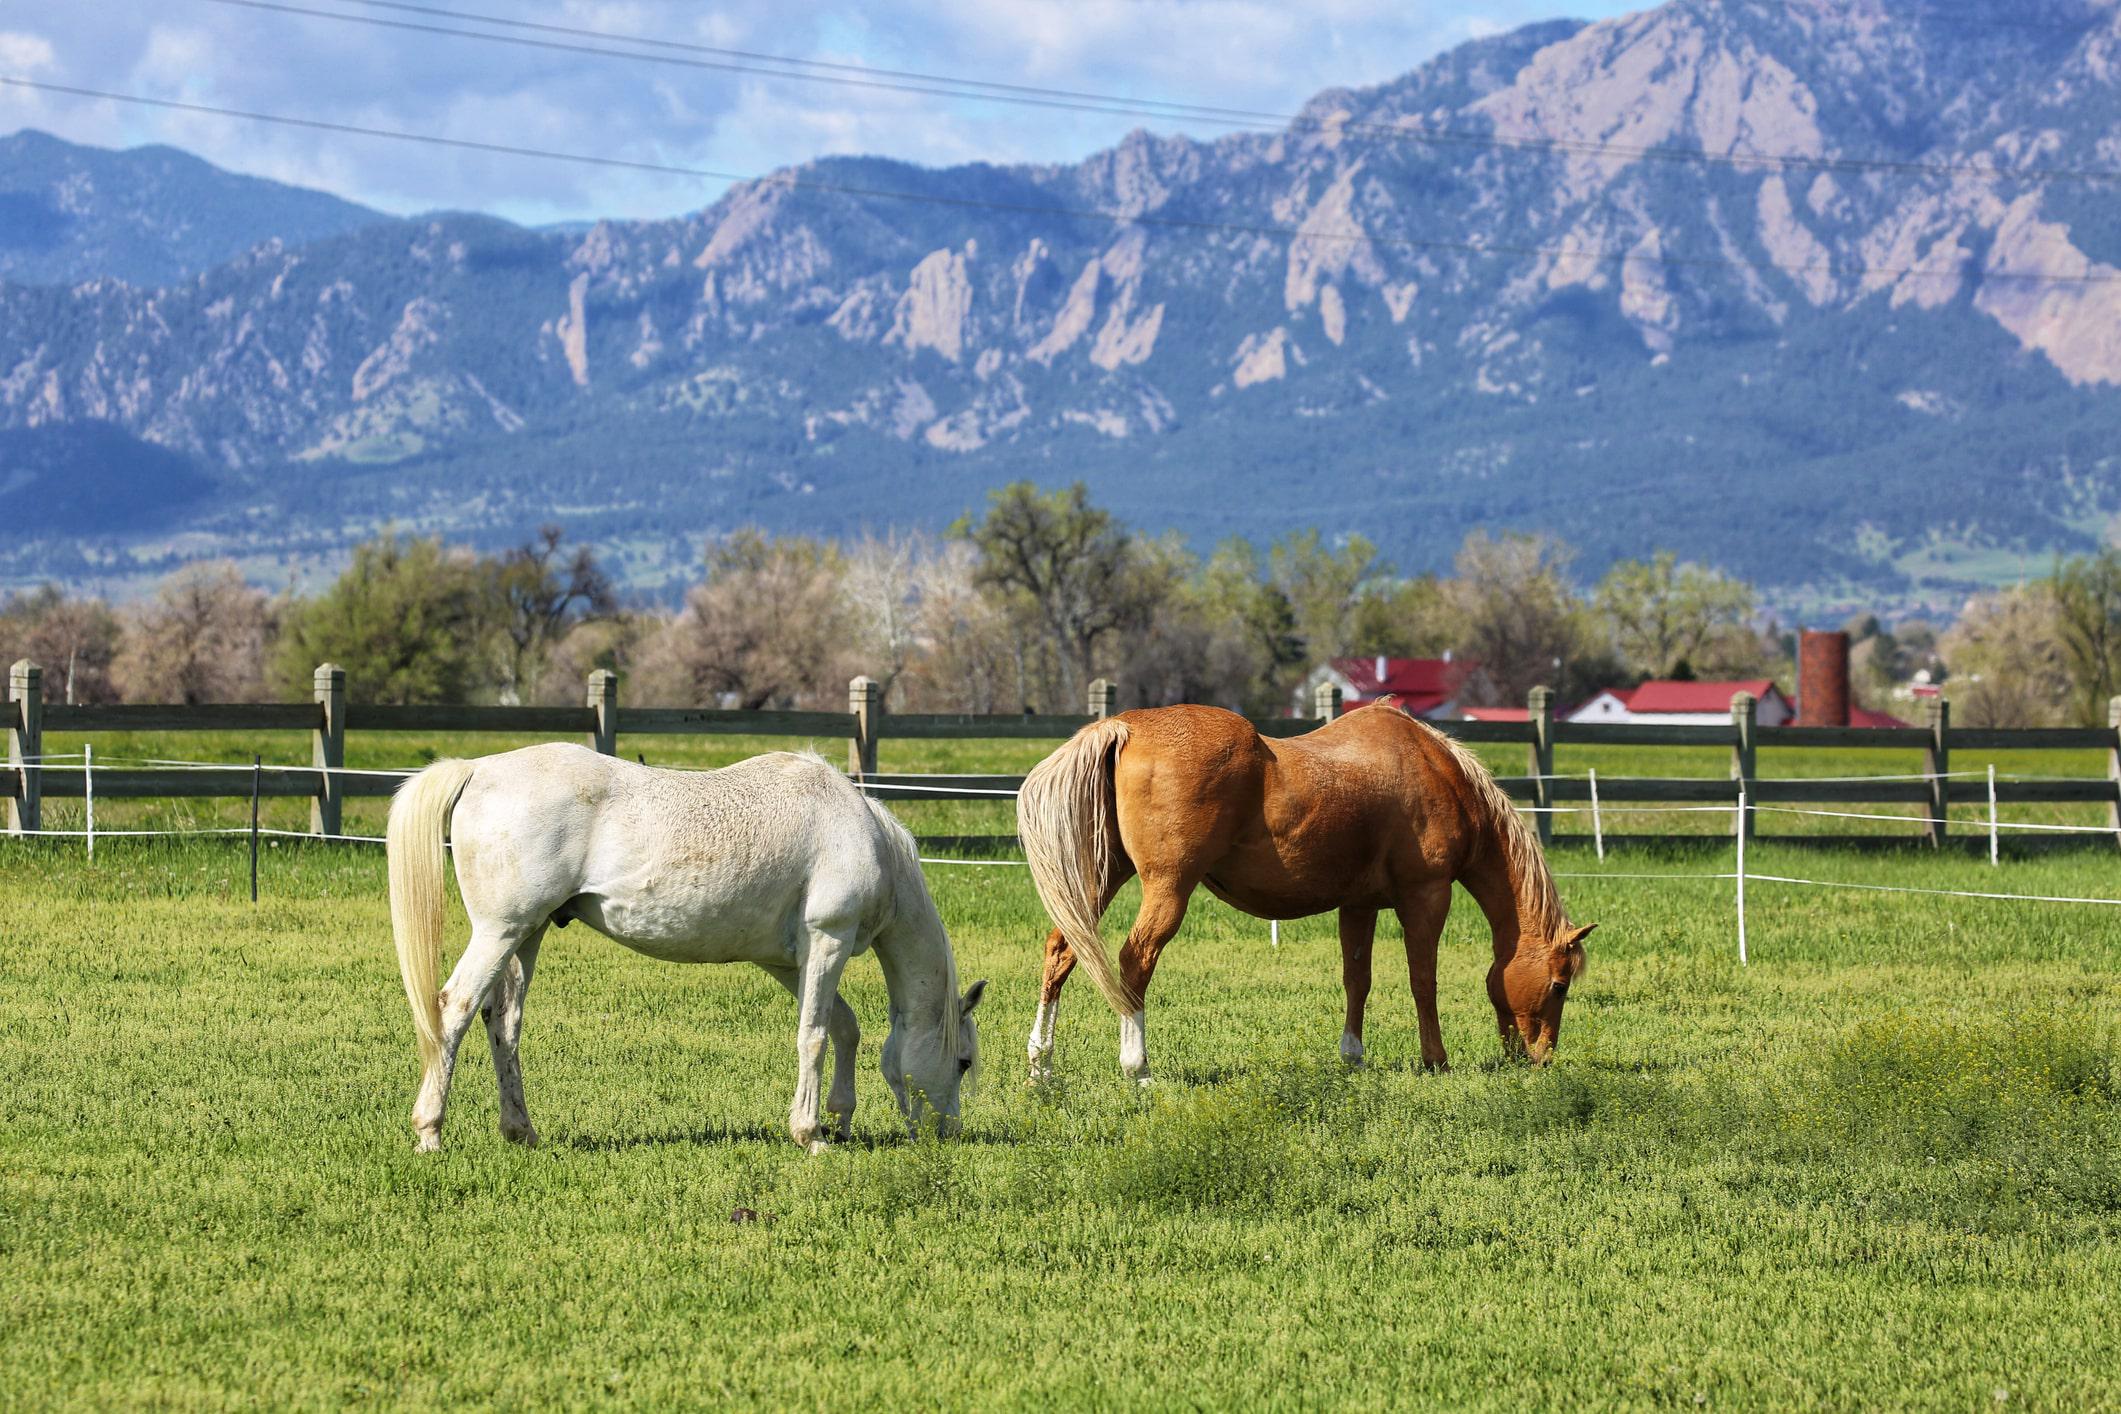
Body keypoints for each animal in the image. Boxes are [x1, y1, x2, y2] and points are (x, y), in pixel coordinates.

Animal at [388, 741, 984, 1153]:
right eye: (962, 1061)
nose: (948, 1134)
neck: (867, 836)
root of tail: (479, 768)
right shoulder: (828, 939)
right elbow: (814, 1036)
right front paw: (811, 1134)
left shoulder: (788, 960)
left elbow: (843, 1026)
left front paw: (839, 1118)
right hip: (499, 932)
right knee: (455, 1009)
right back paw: (430, 1133)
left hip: (525, 935)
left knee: (504, 1023)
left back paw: (521, 1131)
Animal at [1013, 699, 1594, 1085]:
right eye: (1560, 985)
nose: (1539, 1058)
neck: (1436, 772)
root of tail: (1124, 726)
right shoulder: (1425, 897)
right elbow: (1422, 980)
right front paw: (1436, 1059)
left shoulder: (1358, 905)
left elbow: (1358, 979)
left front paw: (1352, 1055)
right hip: (1167, 888)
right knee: (1135, 961)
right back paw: (1138, 1069)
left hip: (1102, 878)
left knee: (1062, 951)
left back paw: (1042, 1066)